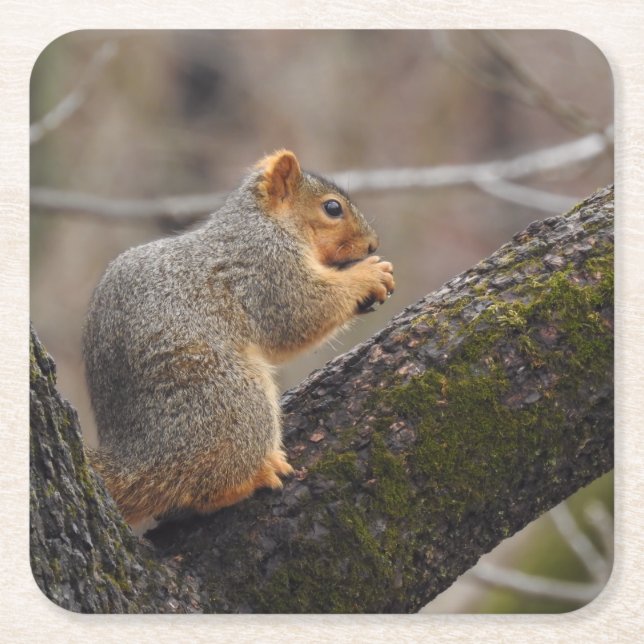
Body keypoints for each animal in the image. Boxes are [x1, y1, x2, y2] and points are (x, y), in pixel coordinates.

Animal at [83, 150, 395, 524]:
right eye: (333, 208)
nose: (373, 244)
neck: (261, 222)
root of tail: (141, 459)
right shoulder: (266, 267)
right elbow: (301, 311)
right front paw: (370, 274)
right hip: (234, 403)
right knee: (203, 487)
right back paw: (256, 476)